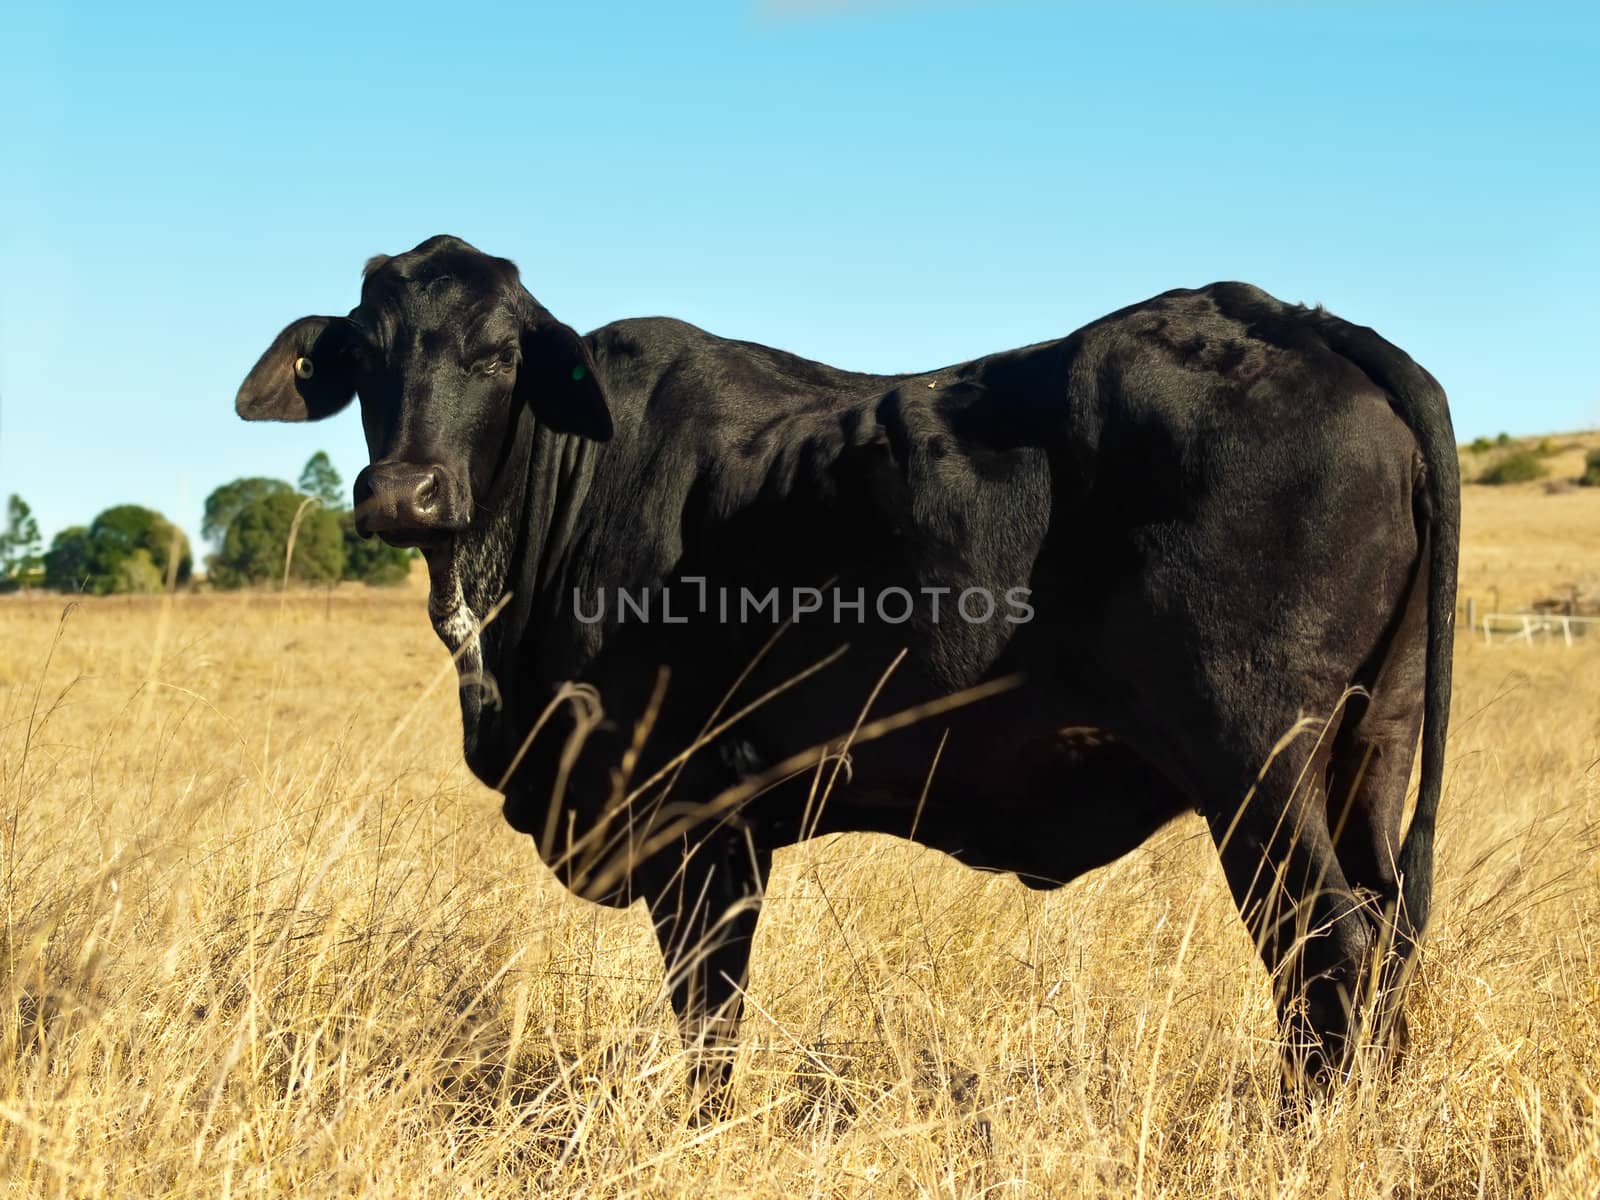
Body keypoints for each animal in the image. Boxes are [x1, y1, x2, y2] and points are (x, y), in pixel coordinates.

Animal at [240, 236, 1465, 1120]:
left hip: (1254, 759)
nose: (404, 493)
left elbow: (708, 1015)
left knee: (1328, 945)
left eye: (497, 355)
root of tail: (1294, 319)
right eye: (365, 356)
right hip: (1372, 745)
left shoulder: (697, 821)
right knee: (1378, 939)